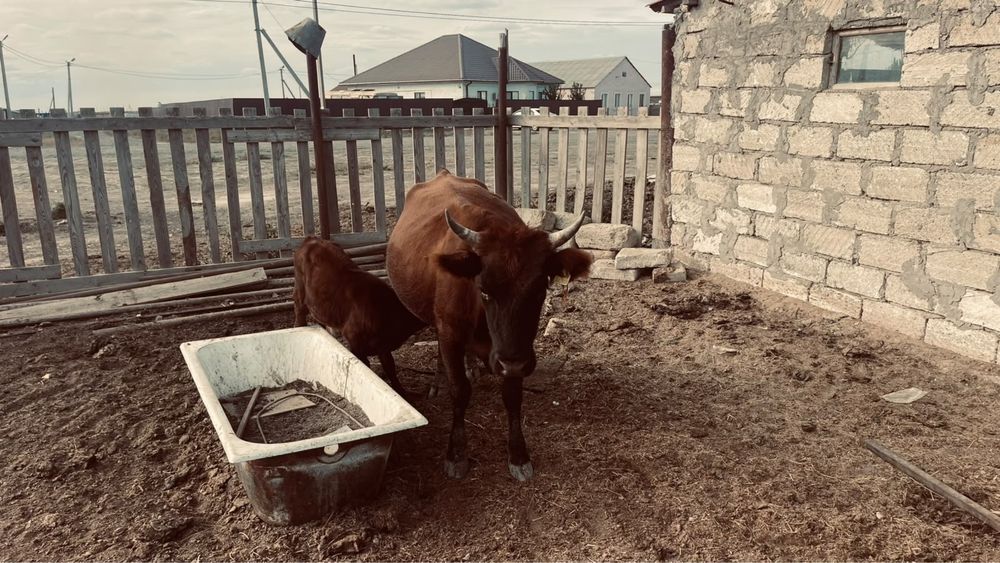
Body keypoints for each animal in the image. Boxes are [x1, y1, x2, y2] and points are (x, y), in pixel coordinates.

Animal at [293, 236, 425, 394]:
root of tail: (313, 239)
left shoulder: (382, 346)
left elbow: (390, 367)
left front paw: (401, 391)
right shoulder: (354, 338)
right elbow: (365, 366)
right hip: (300, 291)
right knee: (299, 310)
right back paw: (299, 326)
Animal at [387, 170, 592, 481]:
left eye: (541, 290)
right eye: (483, 290)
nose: (512, 363)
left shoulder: (517, 350)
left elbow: (512, 396)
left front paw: (518, 455)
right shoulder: (450, 332)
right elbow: (459, 390)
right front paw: (456, 454)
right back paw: (439, 382)